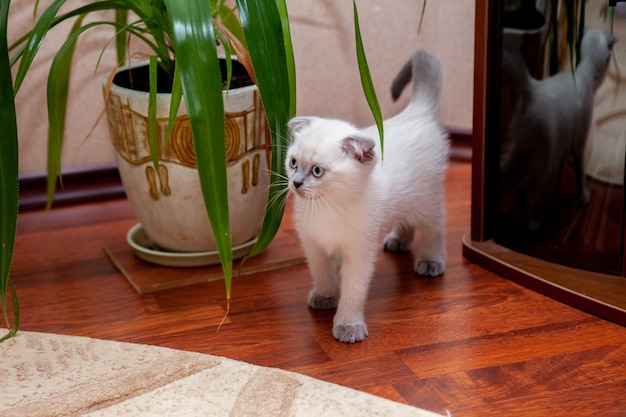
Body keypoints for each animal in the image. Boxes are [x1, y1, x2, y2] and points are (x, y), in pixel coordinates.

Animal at [286, 49, 446, 342]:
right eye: (293, 163)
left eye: (317, 171)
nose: (296, 182)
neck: (330, 207)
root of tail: (416, 111)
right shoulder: (313, 245)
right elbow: (322, 274)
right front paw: (325, 297)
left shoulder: (359, 253)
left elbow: (353, 291)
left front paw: (348, 326)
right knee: (406, 221)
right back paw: (398, 241)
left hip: (427, 199)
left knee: (434, 228)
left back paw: (430, 262)